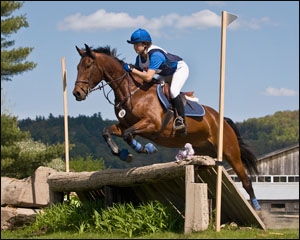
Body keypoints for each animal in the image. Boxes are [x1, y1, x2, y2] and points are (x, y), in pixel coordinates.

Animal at [71, 44, 262, 210]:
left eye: (88, 66)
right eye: (77, 67)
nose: (77, 93)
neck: (132, 91)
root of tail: (221, 119)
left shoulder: (152, 125)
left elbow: (128, 135)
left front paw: (145, 148)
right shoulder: (124, 124)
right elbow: (108, 132)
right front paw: (122, 154)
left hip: (230, 151)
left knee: (246, 180)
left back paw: (257, 207)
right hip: (207, 152)